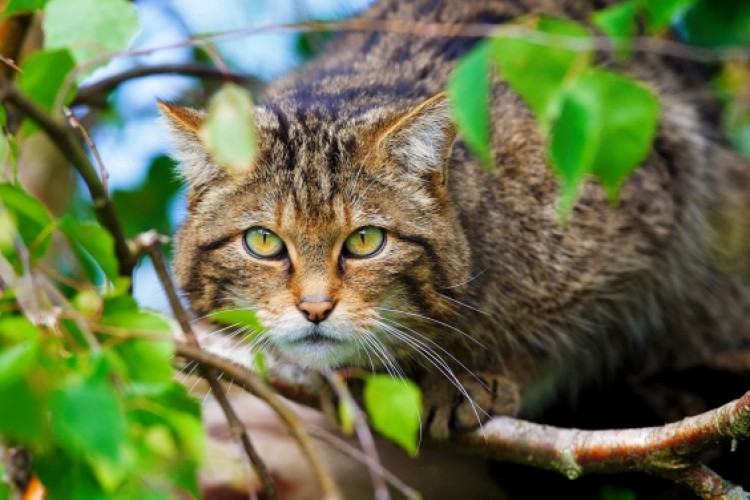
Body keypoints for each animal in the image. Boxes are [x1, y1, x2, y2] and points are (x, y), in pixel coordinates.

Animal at [162, 0, 750, 438]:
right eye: (263, 242)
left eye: (365, 241)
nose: (314, 308)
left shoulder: (644, 217)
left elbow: (569, 338)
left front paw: (488, 372)